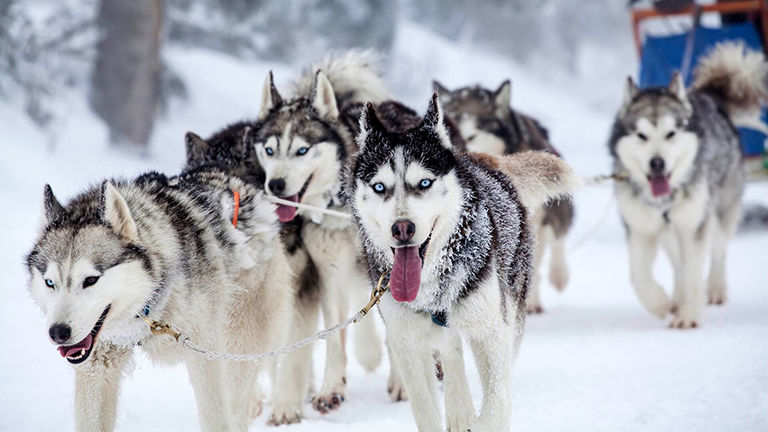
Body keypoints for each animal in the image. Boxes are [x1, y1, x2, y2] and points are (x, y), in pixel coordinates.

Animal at [26, 167, 294, 430]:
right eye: (50, 282)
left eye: (90, 280)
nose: (58, 333)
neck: (149, 306)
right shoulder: (97, 366)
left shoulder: (204, 354)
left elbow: (216, 416)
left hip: (238, 345)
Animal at [248, 51, 392, 418]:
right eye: (270, 150)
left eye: (302, 150)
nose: (276, 185)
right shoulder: (329, 273)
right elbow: (334, 338)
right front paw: (331, 388)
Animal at [608, 43, 764, 328]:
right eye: (641, 135)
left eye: (671, 133)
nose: (657, 163)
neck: (664, 201)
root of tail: (710, 98)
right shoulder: (640, 228)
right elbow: (638, 274)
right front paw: (660, 304)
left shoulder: (694, 226)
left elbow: (693, 272)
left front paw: (689, 317)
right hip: (670, 233)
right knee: (678, 264)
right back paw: (678, 297)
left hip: (716, 214)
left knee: (718, 251)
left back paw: (715, 289)